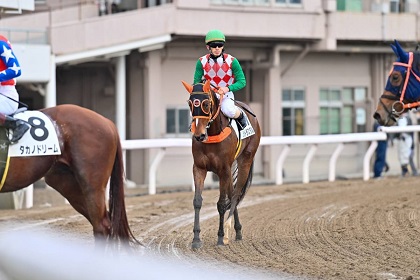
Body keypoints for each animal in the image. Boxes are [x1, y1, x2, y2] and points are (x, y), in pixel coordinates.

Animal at [181, 80, 260, 248]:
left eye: (206, 103)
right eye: (190, 103)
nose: (199, 135)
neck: (211, 133)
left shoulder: (223, 170)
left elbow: (222, 204)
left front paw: (220, 237)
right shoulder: (199, 168)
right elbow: (197, 201)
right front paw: (196, 239)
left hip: (245, 160)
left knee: (236, 194)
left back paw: (228, 230)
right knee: (232, 193)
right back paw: (237, 231)